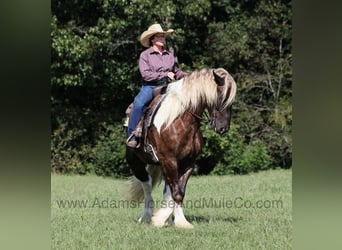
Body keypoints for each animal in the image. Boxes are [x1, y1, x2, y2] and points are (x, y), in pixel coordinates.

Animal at [126, 67, 238, 228]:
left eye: (232, 101)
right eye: (220, 97)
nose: (223, 128)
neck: (180, 121)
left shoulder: (187, 163)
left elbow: (178, 192)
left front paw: (178, 221)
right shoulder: (169, 160)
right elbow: (175, 192)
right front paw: (165, 220)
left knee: (165, 189)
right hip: (136, 162)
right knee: (147, 185)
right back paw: (146, 217)